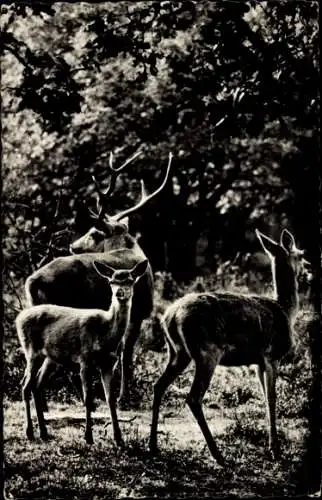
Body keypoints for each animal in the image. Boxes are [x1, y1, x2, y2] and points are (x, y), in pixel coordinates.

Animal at [17, 260, 148, 444]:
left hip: (51, 358)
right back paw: (29, 432)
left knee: (36, 385)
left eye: (130, 280)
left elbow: (110, 399)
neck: (107, 334)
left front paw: (119, 438)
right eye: (111, 282)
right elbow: (87, 399)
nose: (119, 293)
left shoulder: (109, 364)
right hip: (31, 351)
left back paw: (43, 432)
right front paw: (88, 437)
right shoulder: (84, 358)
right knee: (25, 385)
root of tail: (19, 318)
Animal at [25, 151, 174, 406]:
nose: (74, 245)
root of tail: (32, 282)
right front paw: (124, 395)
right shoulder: (139, 312)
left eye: (94, 234)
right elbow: (126, 354)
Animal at [150, 229, 308, 464]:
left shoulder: (258, 363)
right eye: (300, 254)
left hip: (177, 353)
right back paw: (218, 455)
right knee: (194, 397)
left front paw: (271, 447)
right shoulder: (272, 355)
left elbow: (264, 397)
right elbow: (272, 398)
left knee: (158, 386)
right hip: (207, 351)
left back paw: (153, 446)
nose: (308, 269)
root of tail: (170, 316)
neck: (287, 312)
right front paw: (276, 450)